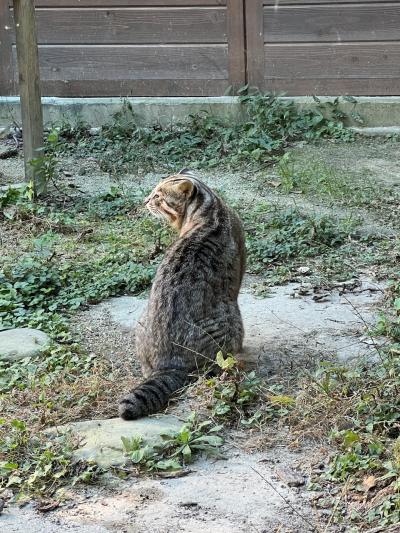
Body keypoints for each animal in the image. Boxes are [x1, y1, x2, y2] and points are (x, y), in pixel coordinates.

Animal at [119, 170, 245, 420]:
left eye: (158, 196)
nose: (145, 201)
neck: (210, 207)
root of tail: (169, 364)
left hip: (141, 319)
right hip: (233, 322)